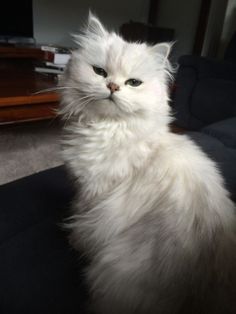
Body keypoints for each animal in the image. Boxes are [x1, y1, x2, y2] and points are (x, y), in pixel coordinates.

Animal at [60, 12, 235, 314]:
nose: (112, 87)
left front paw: (74, 241)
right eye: (100, 72)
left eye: (133, 83)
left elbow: (81, 219)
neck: (109, 127)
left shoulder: (93, 191)